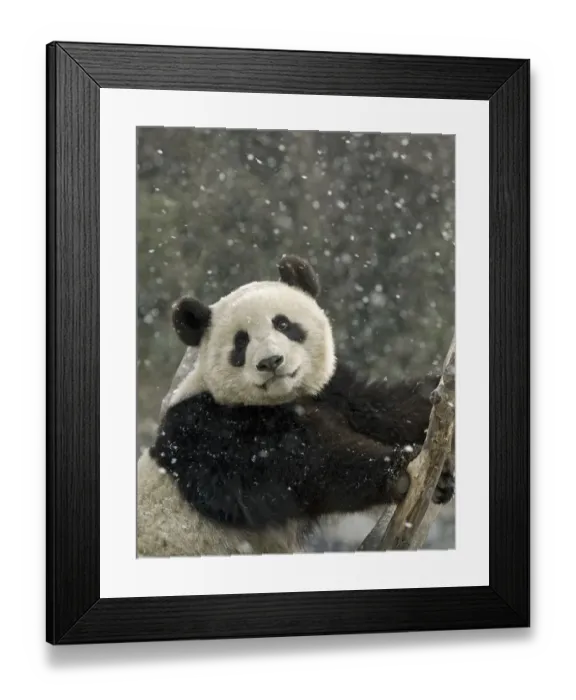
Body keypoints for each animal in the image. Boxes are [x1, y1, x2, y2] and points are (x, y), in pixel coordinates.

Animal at [136, 255, 454, 557]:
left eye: (283, 324)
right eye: (241, 342)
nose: (270, 362)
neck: (281, 400)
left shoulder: (331, 393)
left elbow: (381, 407)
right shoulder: (206, 433)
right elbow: (298, 465)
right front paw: (401, 468)